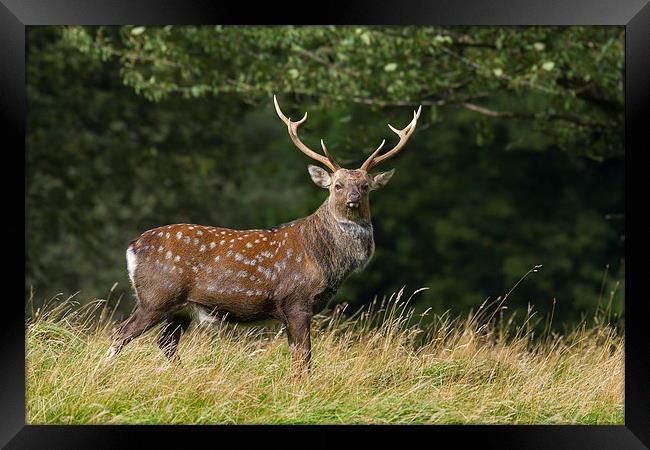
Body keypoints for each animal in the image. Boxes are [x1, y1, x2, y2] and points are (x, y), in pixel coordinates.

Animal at [106, 96, 420, 374]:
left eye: (366, 186)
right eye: (337, 186)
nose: (353, 199)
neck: (326, 261)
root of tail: (132, 247)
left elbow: (297, 358)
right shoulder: (297, 300)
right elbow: (304, 360)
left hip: (181, 308)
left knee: (165, 342)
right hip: (156, 296)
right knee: (119, 334)